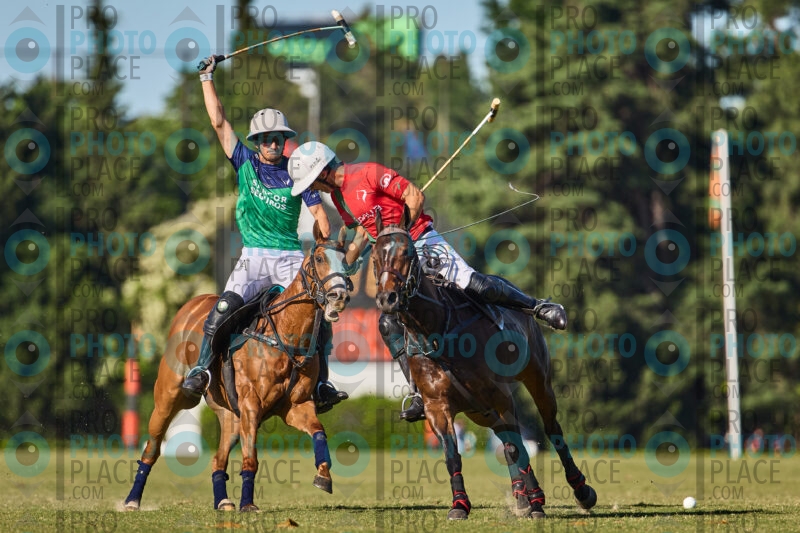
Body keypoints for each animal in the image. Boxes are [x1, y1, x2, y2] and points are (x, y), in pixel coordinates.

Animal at [124, 224, 353, 511]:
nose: (339, 296)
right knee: (151, 449)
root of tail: (192, 302)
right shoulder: (251, 405)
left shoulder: (296, 407)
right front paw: (248, 504)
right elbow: (251, 458)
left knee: (217, 459)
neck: (285, 337)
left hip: (230, 417)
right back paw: (132, 500)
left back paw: (222, 500)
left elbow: (319, 432)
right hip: (170, 398)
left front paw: (323, 475)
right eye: (320, 258)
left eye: (346, 261)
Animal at [370, 209, 597, 520]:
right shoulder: (437, 407)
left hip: (537, 379)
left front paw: (538, 501)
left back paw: (579, 490)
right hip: (480, 410)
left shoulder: (499, 395)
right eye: (374, 257)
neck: (435, 330)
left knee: (551, 429)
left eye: (407, 253)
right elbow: (453, 456)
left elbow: (517, 447)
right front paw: (460, 505)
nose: (387, 298)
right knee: (506, 436)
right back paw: (521, 496)